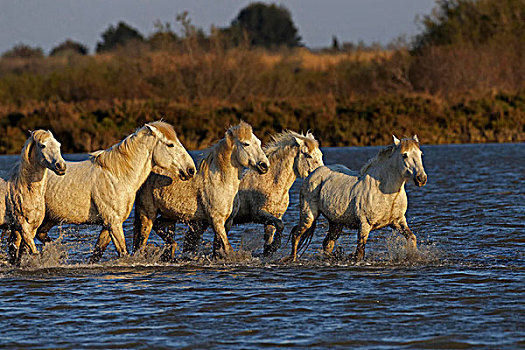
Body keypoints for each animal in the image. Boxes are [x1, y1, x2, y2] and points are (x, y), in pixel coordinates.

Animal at [0, 130, 66, 264]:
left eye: (58, 144)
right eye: (42, 145)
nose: (61, 166)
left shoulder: (33, 228)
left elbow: (21, 253)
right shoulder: (23, 227)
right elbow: (34, 252)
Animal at [34, 121, 195, 262]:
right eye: (170, 144)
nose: (191, 170)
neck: (116, 176)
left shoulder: (108, 225)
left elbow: (97, 254)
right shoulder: (114, 223)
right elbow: (123, 253)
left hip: (51, 218)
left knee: (40, 234)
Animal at [131, 121, 270, 258]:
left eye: (259, 142)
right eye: (246, 143)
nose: (265, 166)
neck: (222, 182)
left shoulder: (227, 222)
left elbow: (218, 250)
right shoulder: (217, 221)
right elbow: (228, 248)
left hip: (168, 216)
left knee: (158, 227)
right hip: (147, 214)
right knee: (142, 242)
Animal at [288, 135, 428, 262]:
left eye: (420, 154)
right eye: (404, 155)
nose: (421, 179)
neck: (386, 193)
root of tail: (312, 174)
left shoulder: (398, 222)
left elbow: (412, 238)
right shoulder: (364, 225)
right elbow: (360, 252)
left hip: (336, 223)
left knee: (327, 244)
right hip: (308, 216)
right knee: (296, 235)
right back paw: (293, 259)